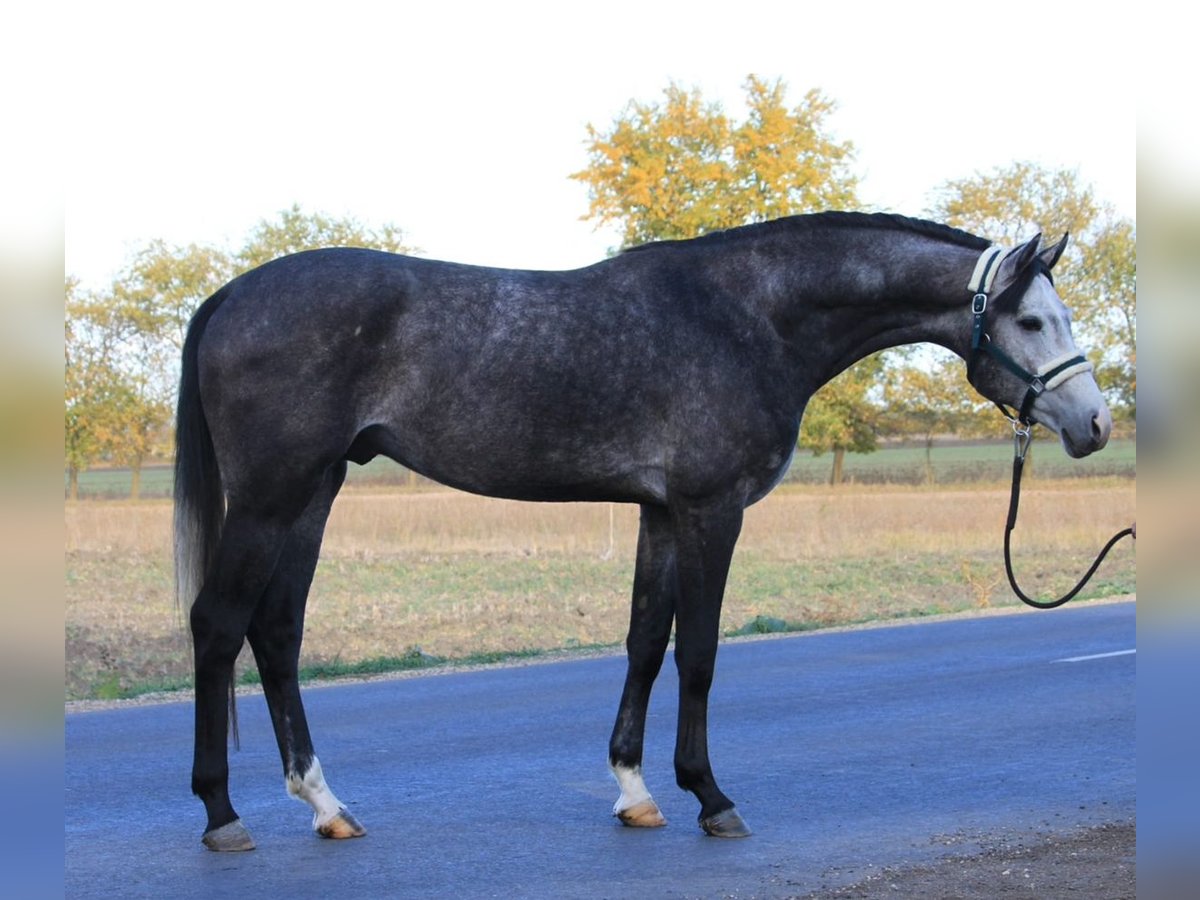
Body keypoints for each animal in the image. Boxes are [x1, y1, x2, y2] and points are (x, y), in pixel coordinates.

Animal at [174, 211, 1108, 854]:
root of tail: (229, 296)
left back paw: (326, 806)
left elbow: (645, 642)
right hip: (272, 496)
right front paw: (711, 797)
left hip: (314, 491)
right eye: (1032, 323)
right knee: (218, 625)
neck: (748, 316)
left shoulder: (660, 511)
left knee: (277, 630)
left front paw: (636, 792)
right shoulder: (710, 509)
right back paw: (221, 814)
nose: (1094, 424)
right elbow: (699, 651)